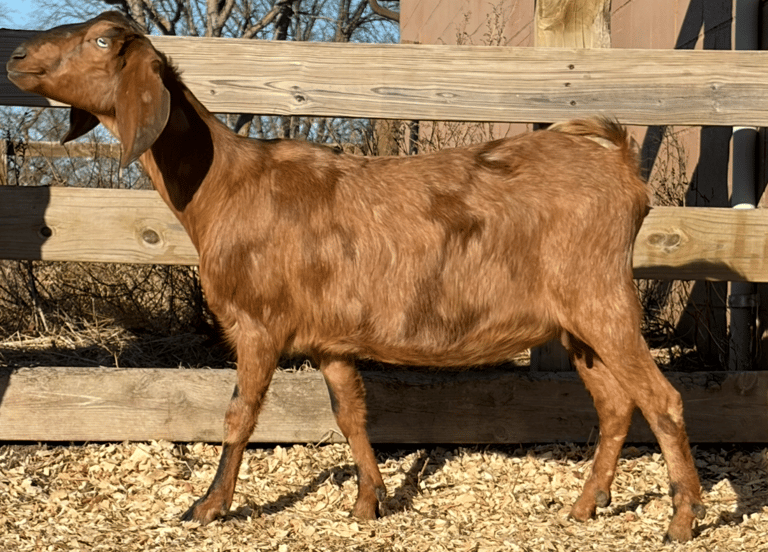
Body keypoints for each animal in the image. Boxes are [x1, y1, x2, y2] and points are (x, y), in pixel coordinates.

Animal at [7, 11, 705, 542]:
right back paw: (584, 507)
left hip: (602, 299)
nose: (15, 54)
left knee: (662, 399)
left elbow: (239, 415)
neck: (225, 186)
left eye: (103, 41)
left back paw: (682, 519)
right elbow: (352, 415)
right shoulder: (332, 341)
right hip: (578, 322)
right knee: (616, 404)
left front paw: (208, 506)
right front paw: (370, 502)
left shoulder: (258, 324)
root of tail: (618, 161)